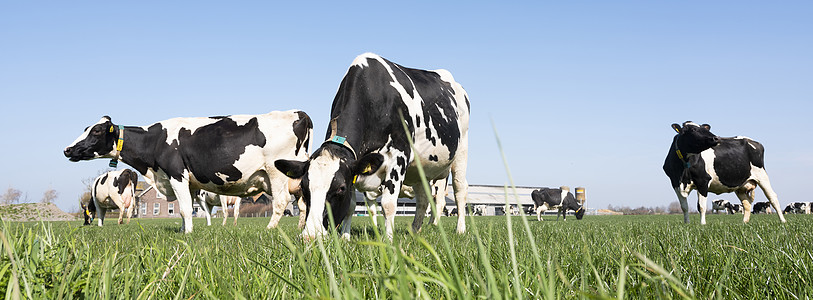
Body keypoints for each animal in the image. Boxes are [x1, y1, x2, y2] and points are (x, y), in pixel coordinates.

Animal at [61, 111, 310, 233]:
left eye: (96, 131)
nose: (67, 149)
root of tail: (298, 113)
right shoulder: (187, 183)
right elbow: (183, 209)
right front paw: (183, 230)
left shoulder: (176, 174)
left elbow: (185, 209)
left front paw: (188, 234)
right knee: (303, 204)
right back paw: (301, 228)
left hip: (277, 173)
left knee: (281, 202)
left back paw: (269, 229)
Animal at [274, 52, 470, 241]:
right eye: (303, 188)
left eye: (340, 188)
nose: (310, 237)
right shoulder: (354, 165)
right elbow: (352, 206)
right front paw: (345, 237)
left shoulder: (399, 156)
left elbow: (388, 204)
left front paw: (389, 240)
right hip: (419, 168)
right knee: (423, 198)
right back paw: (415, 231)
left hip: (461, 151)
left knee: (459, 190)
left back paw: (460, 229)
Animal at [660, 120, 788, 224]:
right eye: (693, 129)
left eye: (705, 128)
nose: (716, 138)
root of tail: (751, 140)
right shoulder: (675, 183)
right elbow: (684, 207)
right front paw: (687, 224)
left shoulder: (703, 181)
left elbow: (701, 206)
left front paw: (702, 224)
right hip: (741, 186)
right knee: (746, 204)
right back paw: (744, 223)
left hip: (762, 175)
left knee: (773, 197)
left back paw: (783, 221)